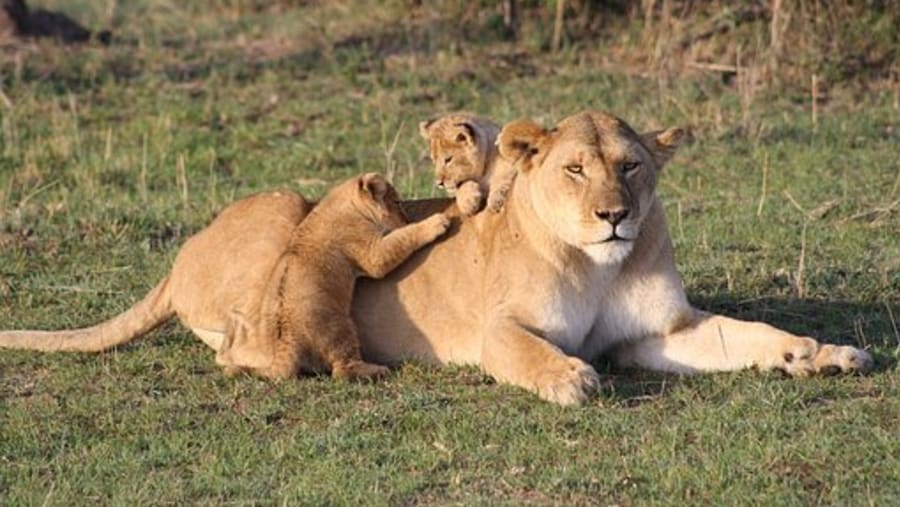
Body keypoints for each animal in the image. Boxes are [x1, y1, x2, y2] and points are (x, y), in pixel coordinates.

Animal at [214, 172, 450, 381]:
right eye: (397, 202)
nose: (407, 219)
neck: (341, 202)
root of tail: (287, 344)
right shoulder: (371, 252)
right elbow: (401, 239)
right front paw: (437, 222)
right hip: (341, 328)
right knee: (341, 371)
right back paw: (377, 369)